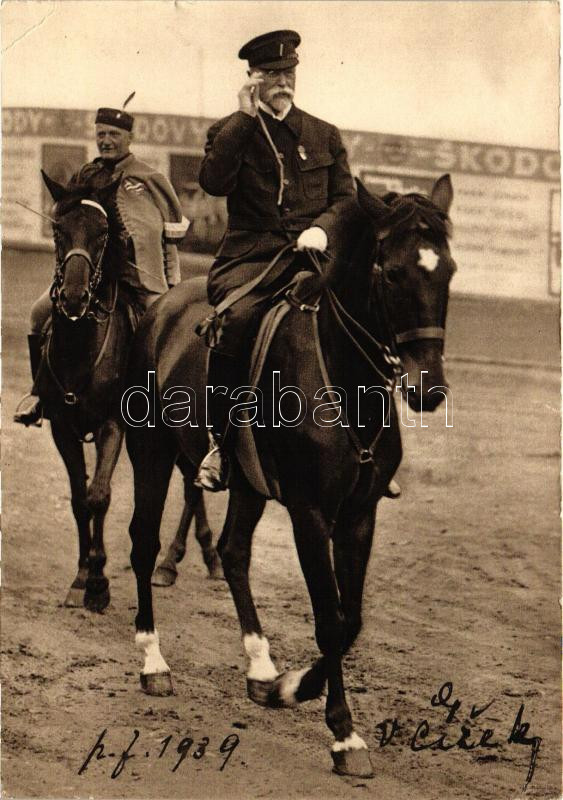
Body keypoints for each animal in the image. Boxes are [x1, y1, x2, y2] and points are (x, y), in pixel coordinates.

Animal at [35, 173, 220, 612]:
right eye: (57, 228)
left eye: (103, 233)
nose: (74, 296)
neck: (81, 351)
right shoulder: (62, 428)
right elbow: (78, 498)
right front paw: (81, 577)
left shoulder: (112, 425)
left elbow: (99, 496)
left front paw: (98, 583)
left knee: (191, 485)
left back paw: (175, 561)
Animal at [125, 173, 456, 776]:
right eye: (391, 272)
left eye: (448, 270)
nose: (428, 389)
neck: (345, 381)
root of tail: (162, 307)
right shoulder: (310, 514)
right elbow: (329, 618)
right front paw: (342, 733)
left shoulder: (358, 516)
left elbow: (350, 620)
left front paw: (290, 687)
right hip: (151, 455)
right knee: (143, 544)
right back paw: (154, 662)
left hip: (248, 485)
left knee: (233, 552)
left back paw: (260, 668)